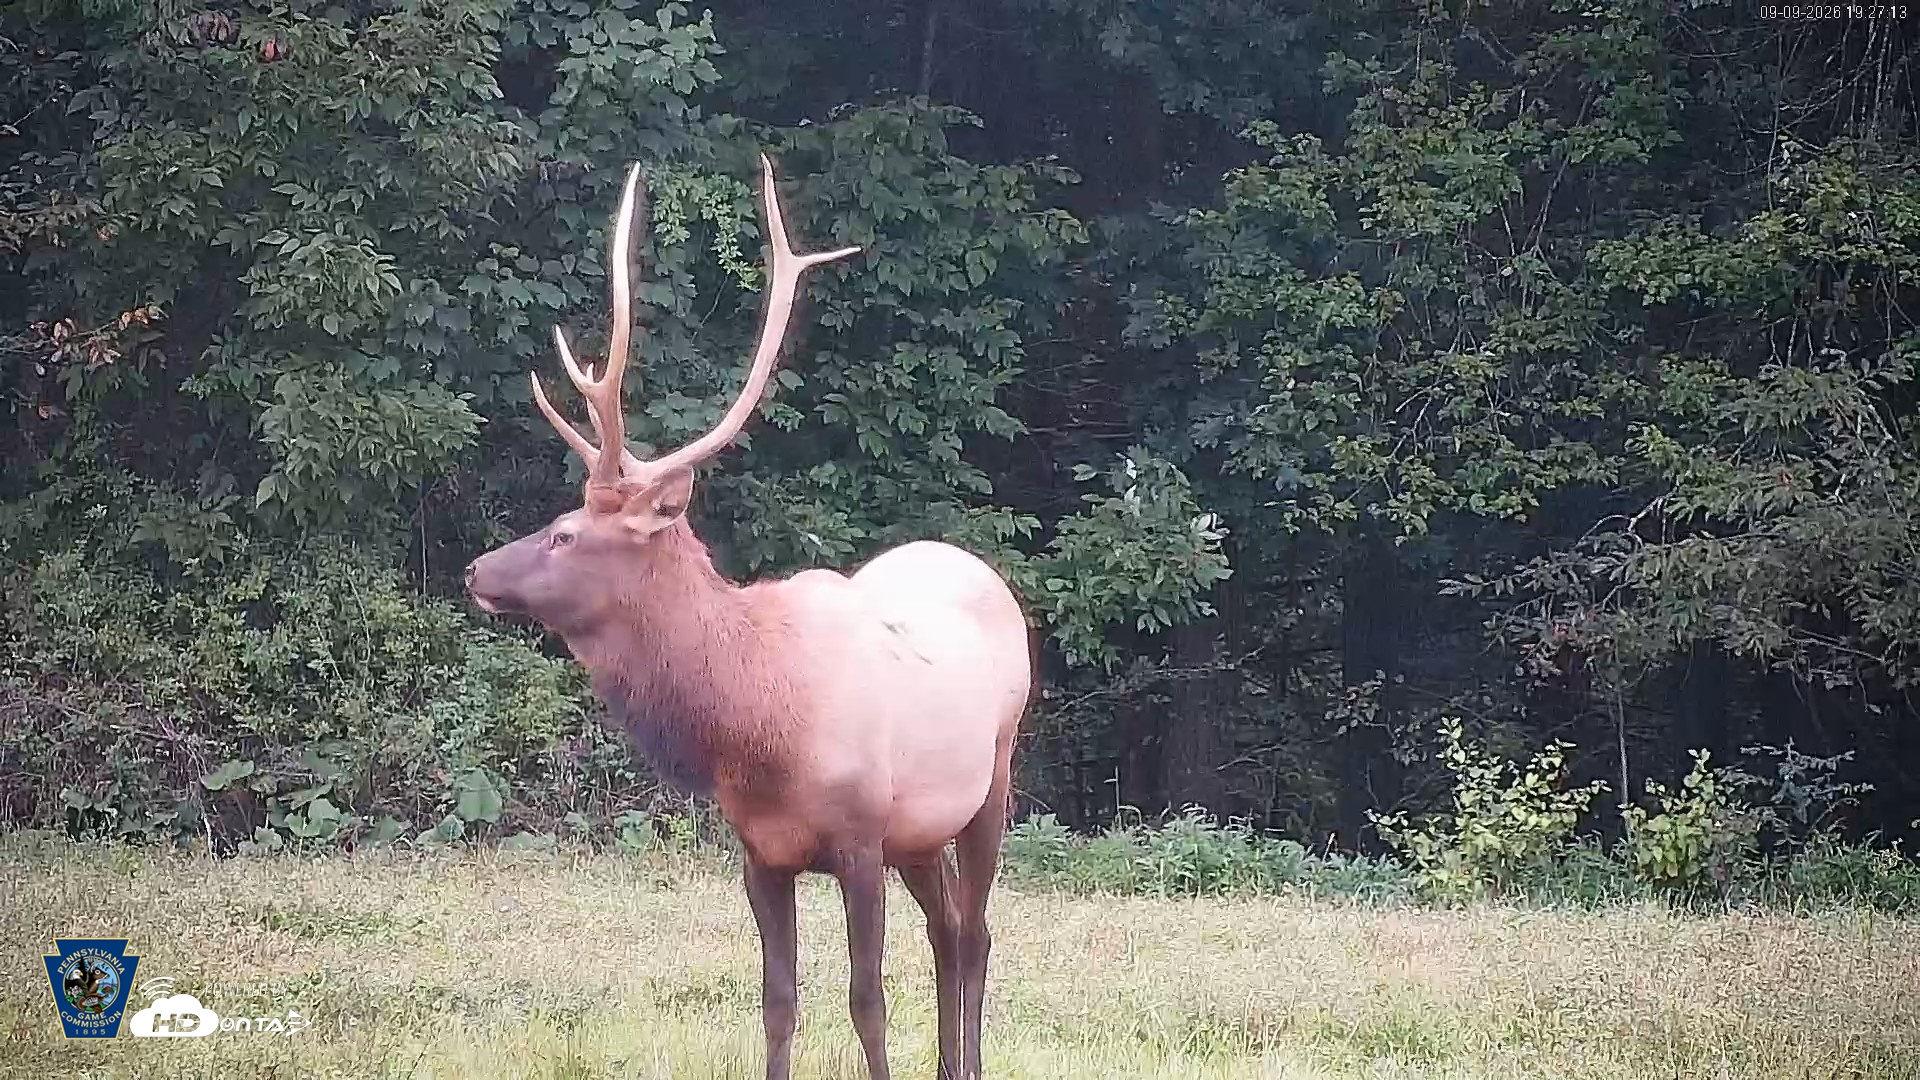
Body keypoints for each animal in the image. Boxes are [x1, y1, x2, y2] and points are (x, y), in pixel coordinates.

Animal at [462, 154, 1033, 1080]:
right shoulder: (760, 853)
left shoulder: (860, 840)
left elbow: (866, 1002)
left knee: (976, 932)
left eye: (566, 533)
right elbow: (778, 1001)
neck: (759, 726)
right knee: (948, 930)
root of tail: (978, 567)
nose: (477, 570)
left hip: (994, 777)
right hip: (921, 832)